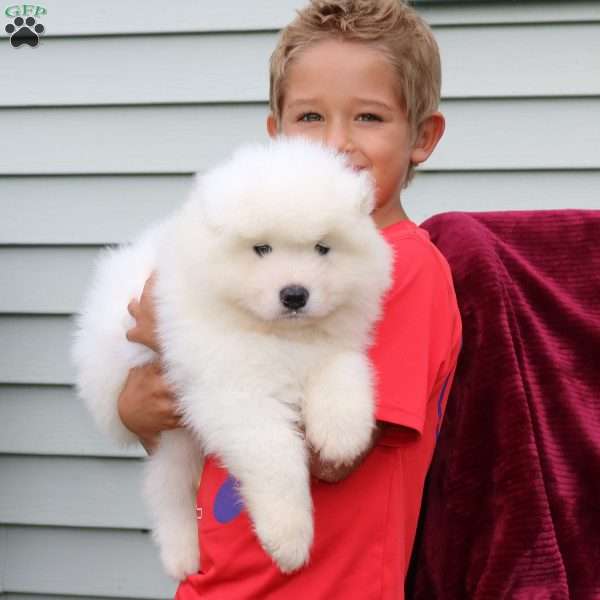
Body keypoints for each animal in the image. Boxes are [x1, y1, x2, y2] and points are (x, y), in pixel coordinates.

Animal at [71, 137, 394, 580]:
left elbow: (344, 372)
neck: (279, 337)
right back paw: (181, 554)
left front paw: (343, 435)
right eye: (261, 248)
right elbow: (277, 455)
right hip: (166, 424)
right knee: (166, 490)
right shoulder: (233, 391)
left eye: (322, 248)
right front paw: (289, 539)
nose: (295, 295)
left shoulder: (334, 345)